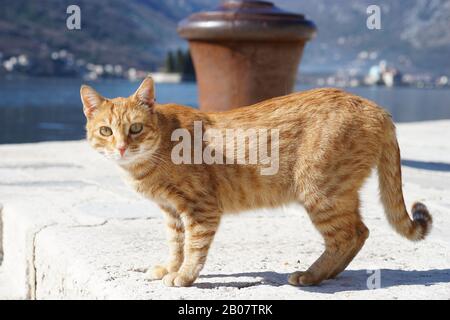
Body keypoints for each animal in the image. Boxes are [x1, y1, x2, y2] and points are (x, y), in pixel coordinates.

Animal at [81, 77, 432, 288]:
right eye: (106, 131)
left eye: (136, 128)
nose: (122, 147)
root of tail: (376, 107)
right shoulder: (172, 214)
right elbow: (176, 246)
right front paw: (170, 268)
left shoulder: (201, 209)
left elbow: (193, 248)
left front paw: (183, 276)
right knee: (359, 233)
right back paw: (325, 274)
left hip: (320, 193)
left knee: (352, 234)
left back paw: (311, 275)